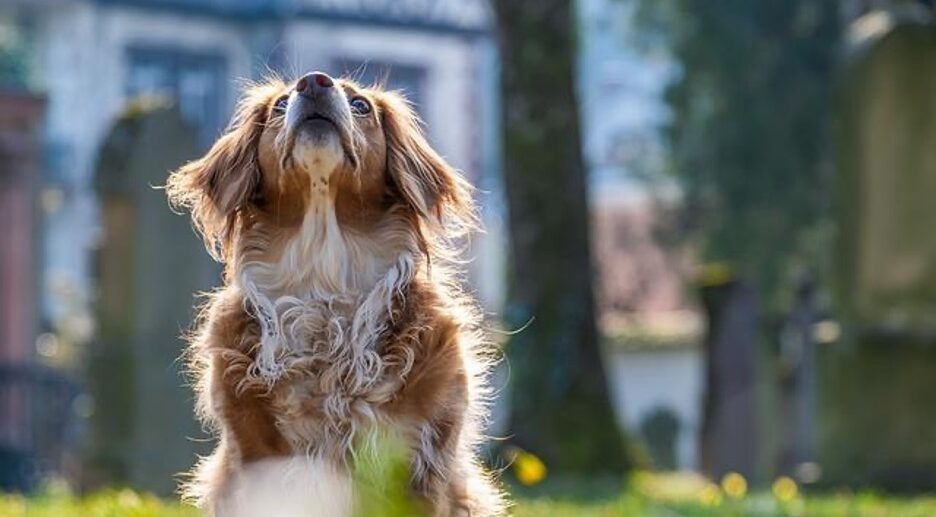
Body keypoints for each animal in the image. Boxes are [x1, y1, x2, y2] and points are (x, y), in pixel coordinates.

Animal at [165, 73, 508, 516]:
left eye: (361, 105)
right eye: (279, 105)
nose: (313, 81)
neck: (323, 277)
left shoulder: (419, 460)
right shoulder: (257, 458)